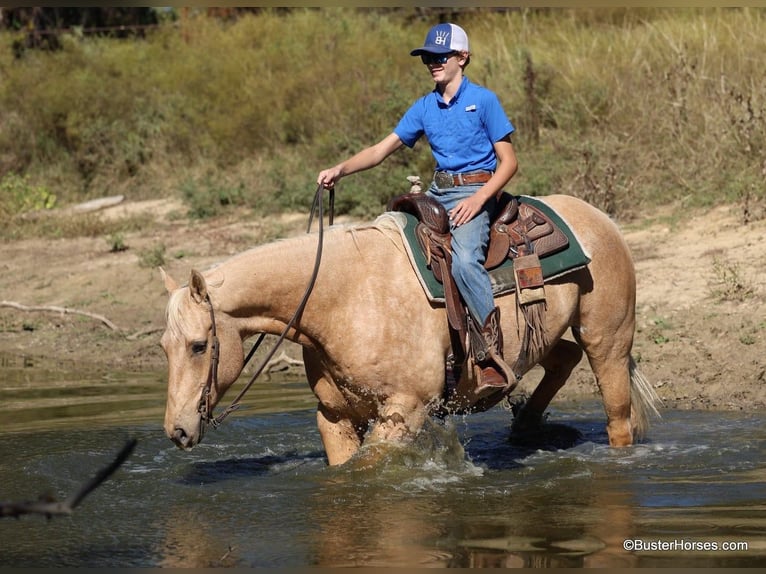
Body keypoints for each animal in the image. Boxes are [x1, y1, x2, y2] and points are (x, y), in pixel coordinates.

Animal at [160, 194, 660, 466]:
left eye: (200, 345)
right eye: (165, 347)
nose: (177, 431)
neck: (344, 297)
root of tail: (600, 219)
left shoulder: (404, 411)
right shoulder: (335, 417)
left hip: (608, 340)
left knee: (617, 414)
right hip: (535, 338)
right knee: (562, 359)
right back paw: (524, 425)